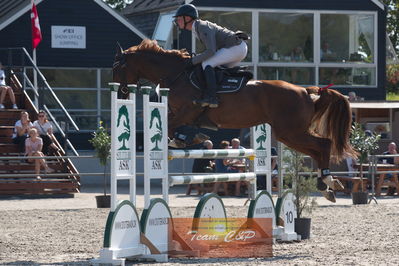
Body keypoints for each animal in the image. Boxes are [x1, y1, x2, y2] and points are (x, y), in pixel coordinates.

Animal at [112, 39, 356, 202]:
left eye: (117, 67)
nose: (122, 92)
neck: (177, 74)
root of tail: (306, 92)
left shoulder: (188, 110)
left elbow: (172, 127)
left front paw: (182, 139)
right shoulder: (182, 113)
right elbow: (173, 127)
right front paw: (187, 138)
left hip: (291, 132)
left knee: (323, 145)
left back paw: (328, 182)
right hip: (289, 135)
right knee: (317, 151)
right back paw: (326, 185)